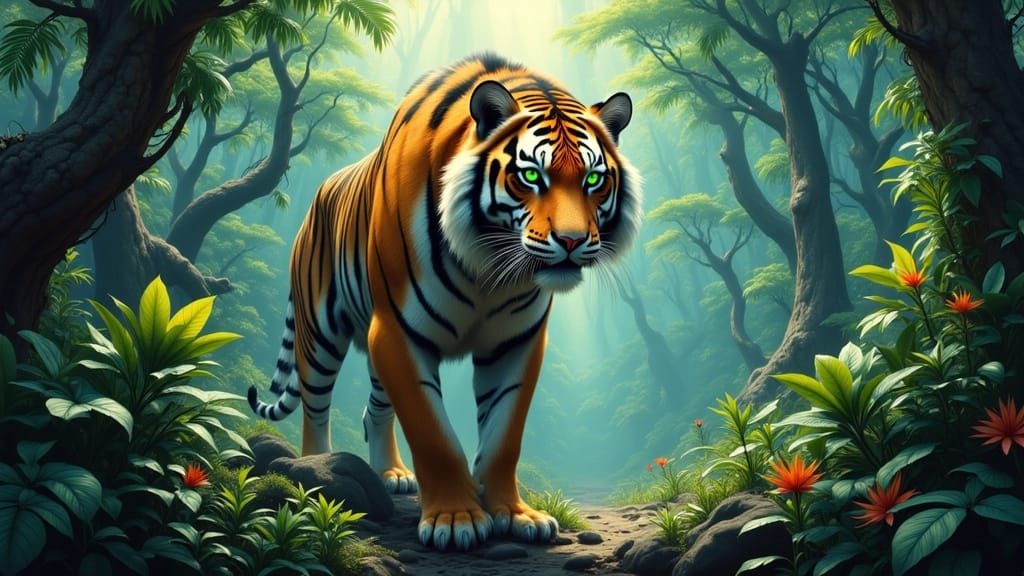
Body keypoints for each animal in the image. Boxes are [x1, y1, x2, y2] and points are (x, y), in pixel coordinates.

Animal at [248, 53, 642, 551]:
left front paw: (516, 515)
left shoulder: (516, 342)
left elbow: (503, 437)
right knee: (316, 409)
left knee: (374, 408)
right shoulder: (399, 333)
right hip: (319, 334)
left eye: (593, 179)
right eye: (532, 175)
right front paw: (456, 520)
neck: (489, 267)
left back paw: (391, 473)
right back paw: (314, 470)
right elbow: (433, 434)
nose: (572, 242)